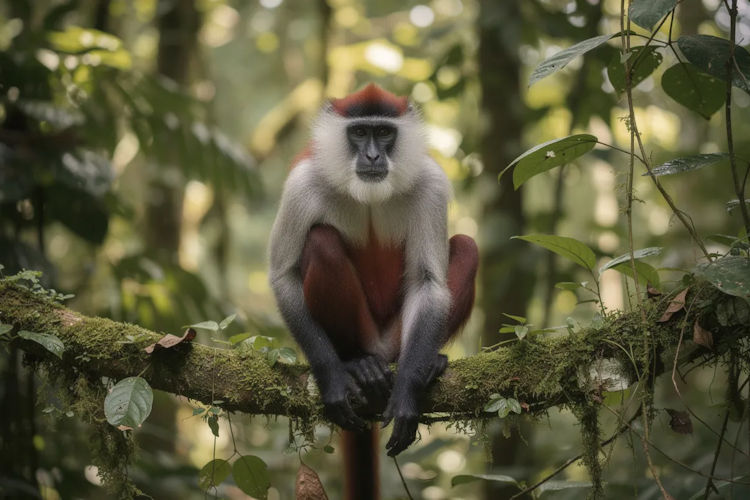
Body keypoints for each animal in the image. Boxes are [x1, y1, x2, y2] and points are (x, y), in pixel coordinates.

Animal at [268, 84, 478, 499]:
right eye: (359, 133)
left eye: (383, 133)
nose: (372, 156)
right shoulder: (302, 183)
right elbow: (283, 276)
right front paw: (334, 378)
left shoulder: (430, 182)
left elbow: (429, 283)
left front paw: (408, 392)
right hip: (365, 332)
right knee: (321, 241)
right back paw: (357, 363)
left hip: (396, 338)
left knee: (466, 246)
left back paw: (429, 363)